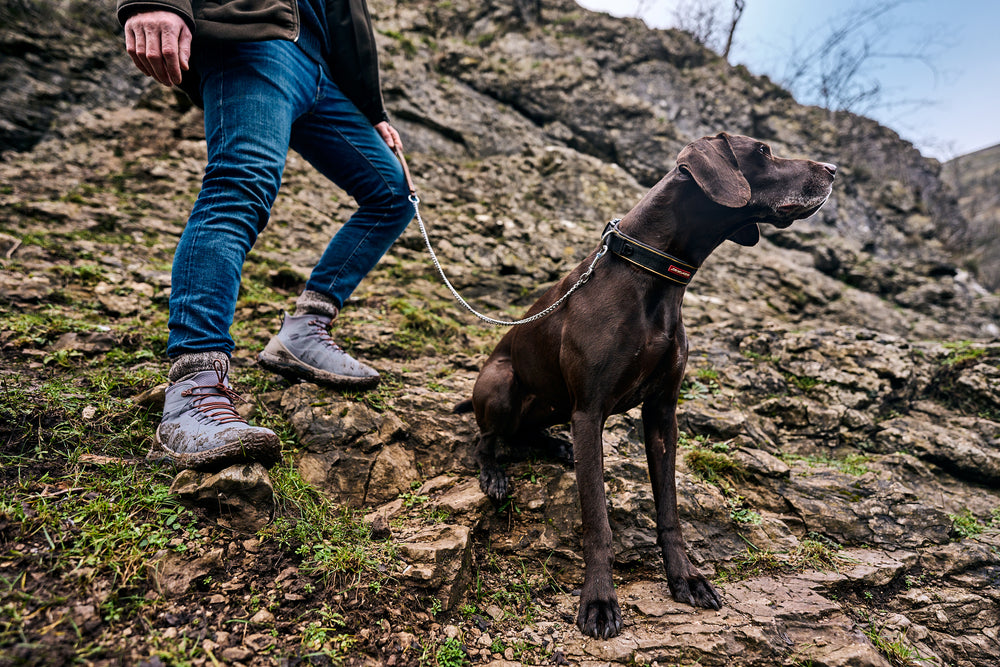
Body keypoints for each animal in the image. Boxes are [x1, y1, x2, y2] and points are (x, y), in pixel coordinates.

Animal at [460, 133, 836, 640]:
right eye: (762, 151)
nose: (833, 169)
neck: (651, 272)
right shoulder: (589, 411)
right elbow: (597, 521)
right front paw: (599, 600)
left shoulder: (661, 414)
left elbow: (670, 512)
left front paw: (685, 578)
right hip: (501, 385)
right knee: (486, 439)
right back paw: (495, 473)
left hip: (556, 406)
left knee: (528, 431)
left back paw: (556, 446)